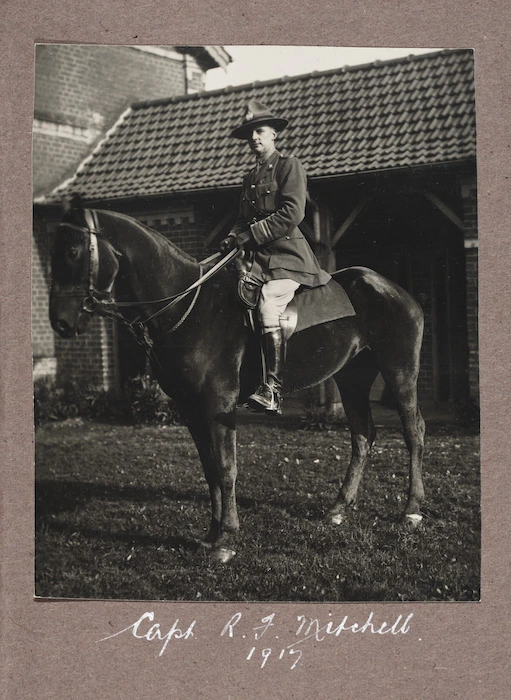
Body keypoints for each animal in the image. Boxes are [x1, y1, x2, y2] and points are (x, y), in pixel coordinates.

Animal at [50, 205, 426, 560]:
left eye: (72, 251)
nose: (61, 323)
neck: (188, 307)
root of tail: (392, 287)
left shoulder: (219, 405)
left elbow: (226, 468)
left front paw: (227, 539)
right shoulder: (190, 408)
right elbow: (210, 470)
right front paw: (211, 533)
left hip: (399, 371)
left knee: (413, 432)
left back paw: (411, 510)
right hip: (352, 379)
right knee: (363, 436)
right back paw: (338, 508)